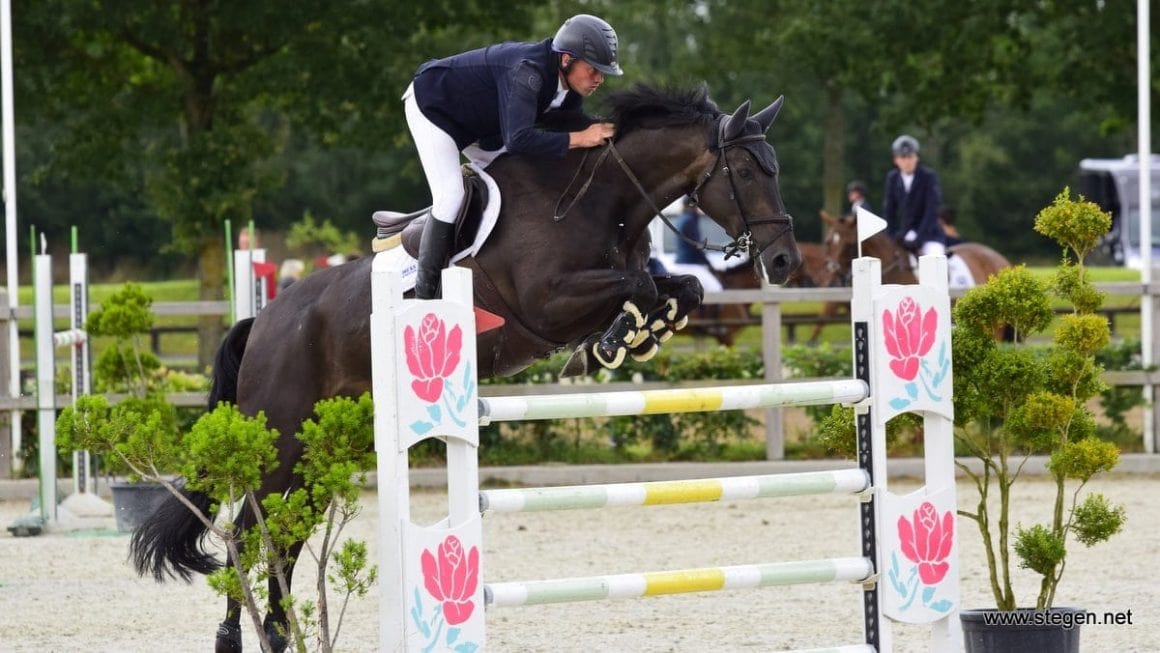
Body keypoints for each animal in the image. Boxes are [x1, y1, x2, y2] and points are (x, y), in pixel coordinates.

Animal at [127, 85, 798, 653]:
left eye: (775, 168)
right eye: (744, 172)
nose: (787, 261)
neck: (601, 199)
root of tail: (263, 320)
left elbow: (681, 287)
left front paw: (639, 334)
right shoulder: (548, 303)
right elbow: (639, 287)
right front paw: (613, 340)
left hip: (328, 447)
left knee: (286, 535)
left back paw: (280, 632)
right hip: (280, 439)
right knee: (248, 531)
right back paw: (236, 638)